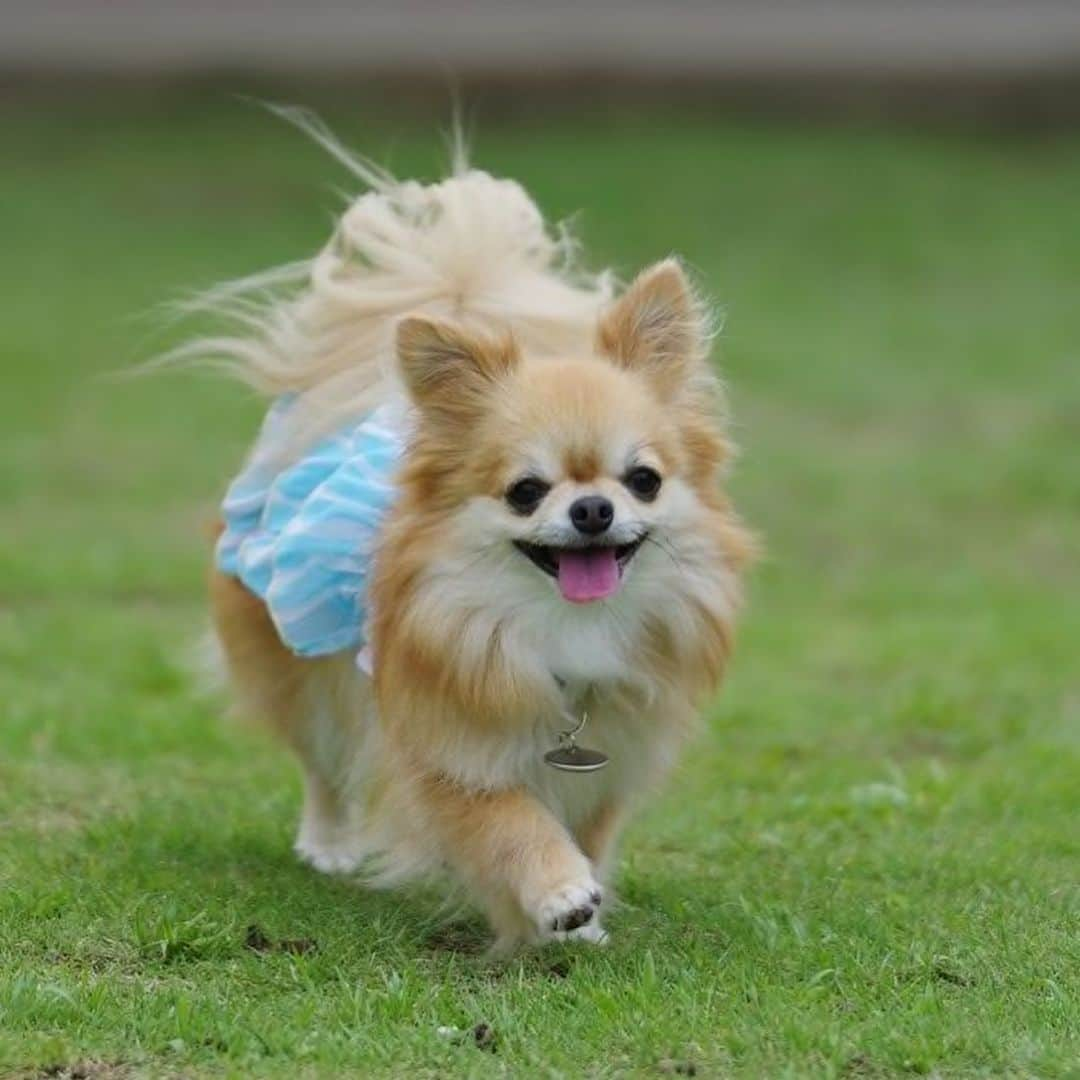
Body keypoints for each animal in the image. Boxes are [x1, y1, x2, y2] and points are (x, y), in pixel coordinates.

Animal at [204, 141, 760, 946]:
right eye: (525, 491)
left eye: (644, 480)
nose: (593, 508)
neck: (567, 627)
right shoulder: (444, 749)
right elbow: (509, 822)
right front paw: (558, 893)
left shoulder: (611, 760)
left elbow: (589, 832)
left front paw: (585, 912)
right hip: (302, 669)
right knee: (323, 762)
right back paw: (329, 842)